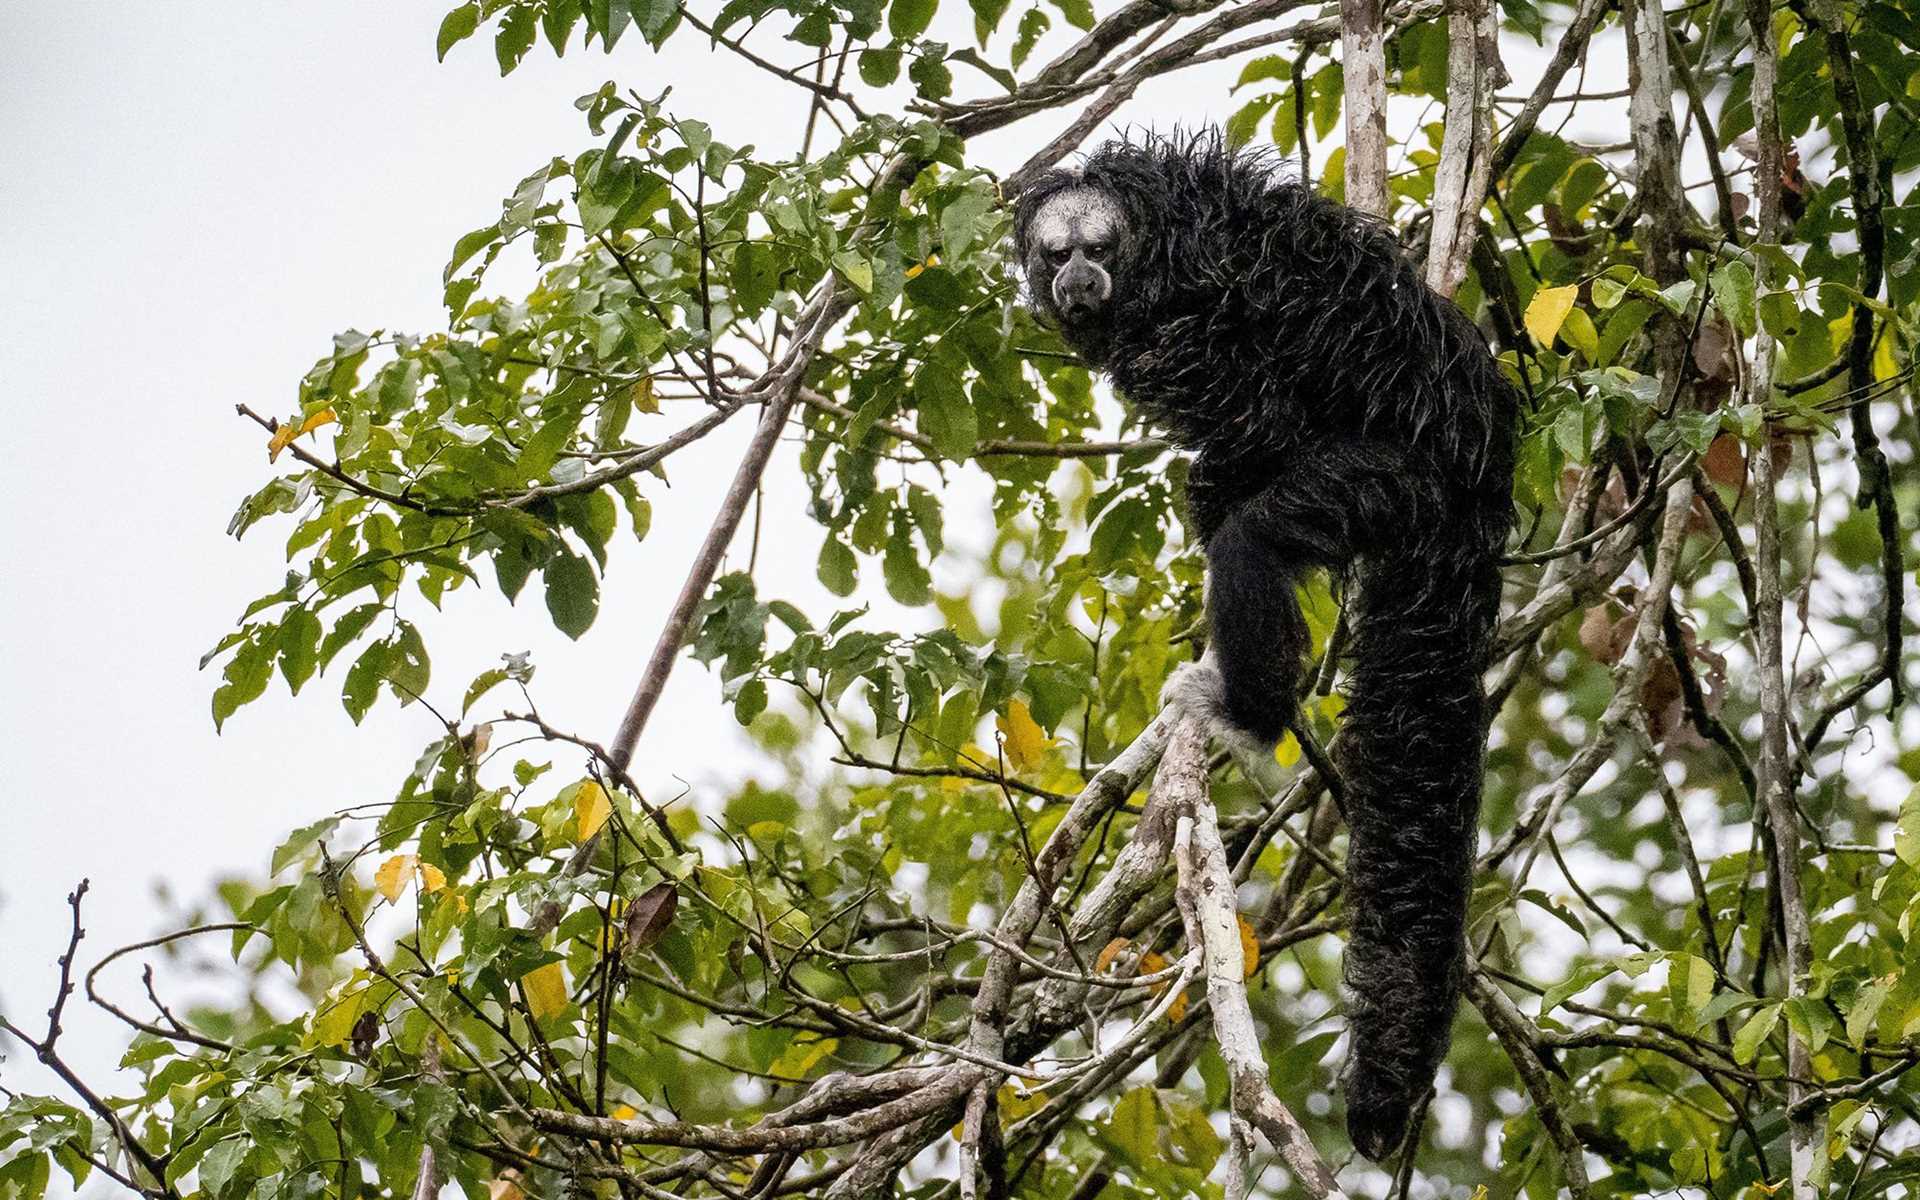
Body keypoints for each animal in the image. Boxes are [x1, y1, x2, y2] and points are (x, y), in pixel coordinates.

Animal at [1013, 133, 1520, 1159]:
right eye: (1057, 253)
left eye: (1100, 250)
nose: (1079, 276)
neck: (1155, 247)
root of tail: (1482, 462)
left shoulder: (1189, 332)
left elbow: (1261, 428)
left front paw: (1213, 491)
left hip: (1402, 485)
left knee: (1258, 538)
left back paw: (1249, 710)